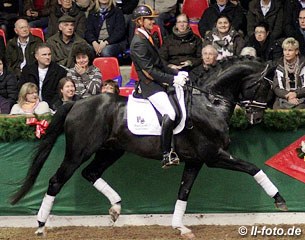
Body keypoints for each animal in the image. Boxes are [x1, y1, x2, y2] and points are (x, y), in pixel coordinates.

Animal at [11, 56, 288, 238]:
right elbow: (253, 168)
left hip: (111, 150)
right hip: (78, 151)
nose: (257, 119)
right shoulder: (213, 155)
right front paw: (279, 201)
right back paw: (41, 225)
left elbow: (184, 192)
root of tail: (76, 103)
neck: (210, 102)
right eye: (266, 86)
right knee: (56, 181)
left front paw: (179, 226)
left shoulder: (195, 160)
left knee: (90, 173)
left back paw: (116, 207)